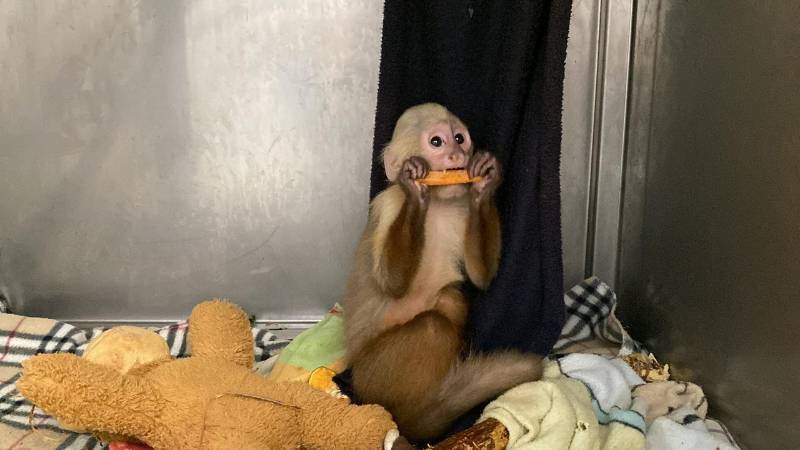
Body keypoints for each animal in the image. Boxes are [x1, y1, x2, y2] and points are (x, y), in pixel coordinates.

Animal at [342, 103, 543, 443]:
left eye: (460, 138)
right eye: (437, 142)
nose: (456, 154)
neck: (437, 205)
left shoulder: (461, 208)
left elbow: (481, 277)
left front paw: (485, 182)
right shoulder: (388, 205)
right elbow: (390, 285)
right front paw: (414, 186)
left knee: (451, 298)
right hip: (371, 376)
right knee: (432, 327)